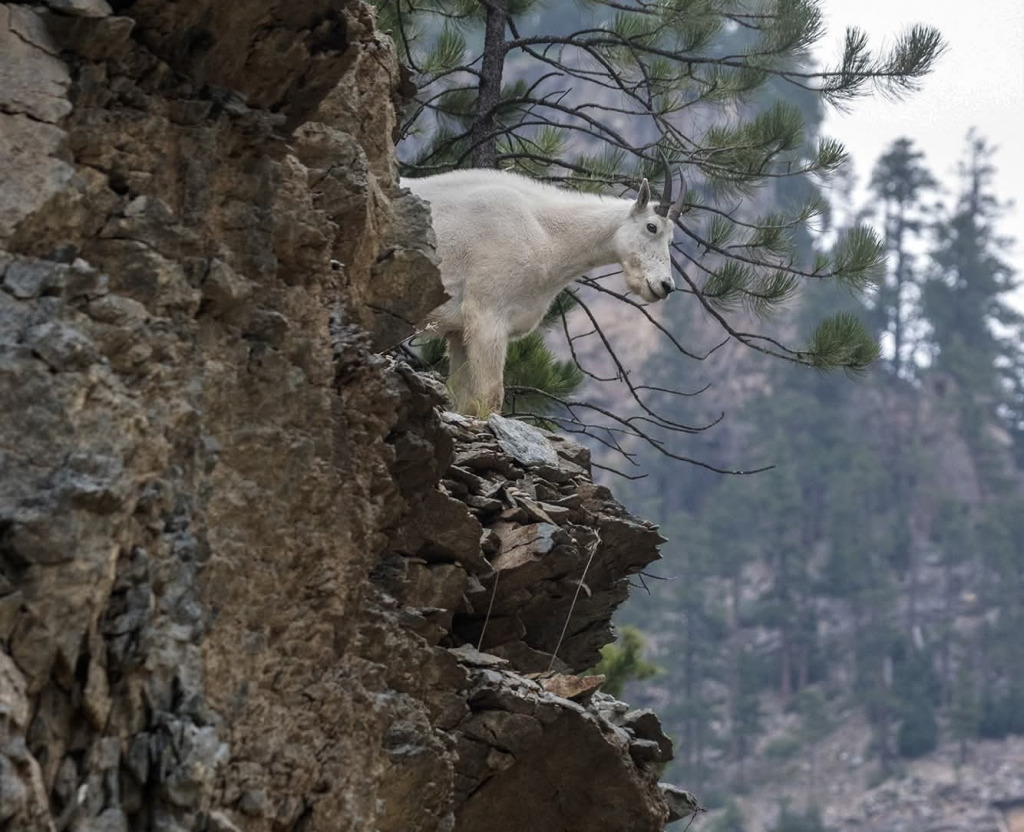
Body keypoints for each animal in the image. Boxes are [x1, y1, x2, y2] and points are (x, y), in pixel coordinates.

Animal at [403, 163, 685, 414]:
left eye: (672, 239)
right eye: (651, 226)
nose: (665, 286)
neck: (543, 234)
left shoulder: (460, 331)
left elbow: (465, 402)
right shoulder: (486, 316)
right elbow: (490, 397)